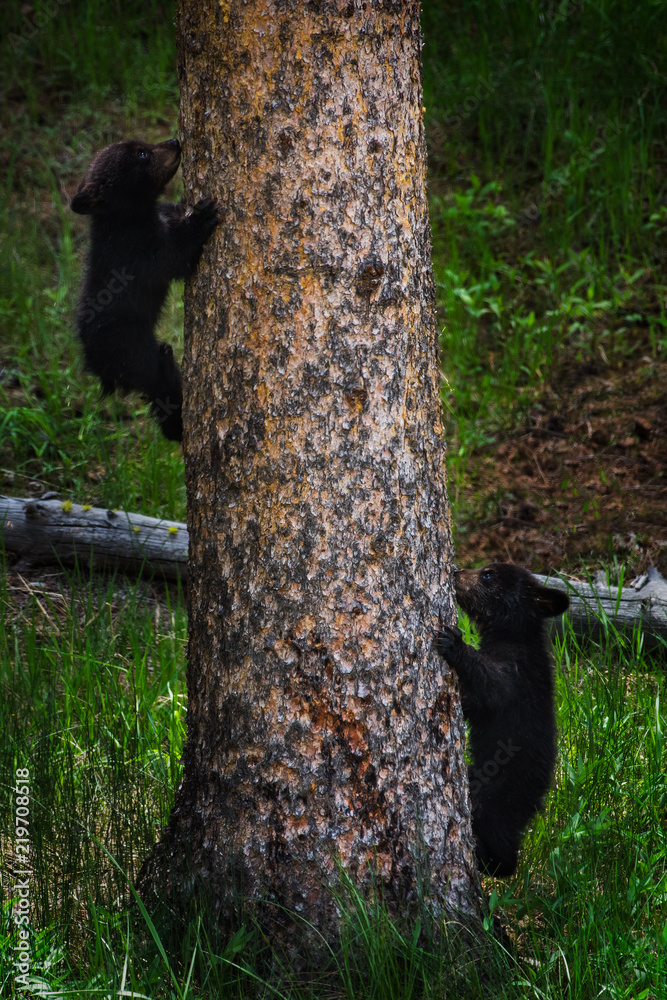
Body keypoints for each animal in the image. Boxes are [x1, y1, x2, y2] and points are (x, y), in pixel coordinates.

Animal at [71, 138, 220, 441]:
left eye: (142, 145)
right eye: (142, 154)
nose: (175, 141)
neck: (128, 219)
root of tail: (95, 364)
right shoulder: (141, 251)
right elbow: (175, 257)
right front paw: (202, 216)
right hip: (131, 349)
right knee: (157, 385)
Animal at [434, 563, 569, 877]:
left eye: (487, 575)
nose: (455, 572)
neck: (514, 635)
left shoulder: (515, 670)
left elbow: (491, 685)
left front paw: (454, 643)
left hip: (500, 796)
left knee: (501, 841)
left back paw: (488, 858)